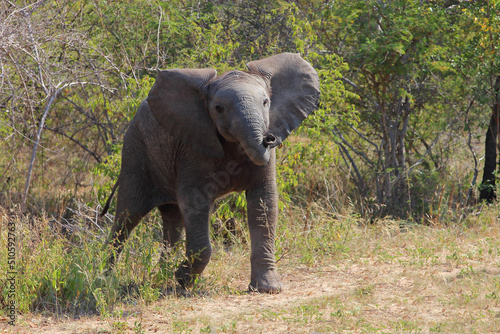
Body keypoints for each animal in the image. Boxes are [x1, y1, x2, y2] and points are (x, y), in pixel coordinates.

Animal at [105, 52, 320, 292]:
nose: (269, 138)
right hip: (135, 152)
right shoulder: (192, 146)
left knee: (172, 219)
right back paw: (104, 277)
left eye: (266, 102)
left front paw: (267, 288)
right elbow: (195, 201)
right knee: (126, 217)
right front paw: (182, 280)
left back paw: (160, 277)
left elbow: (263, 201)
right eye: (218, 108)